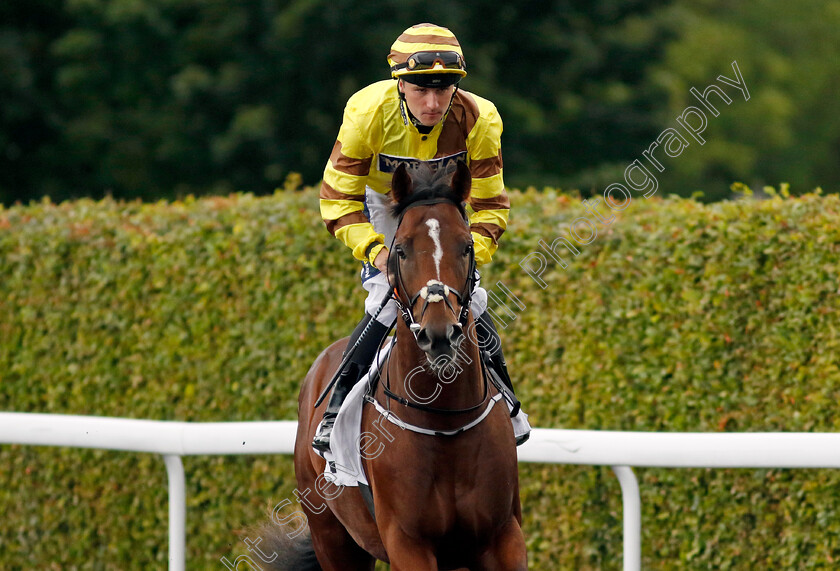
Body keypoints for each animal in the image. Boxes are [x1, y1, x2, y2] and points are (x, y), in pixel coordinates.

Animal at [260, 162, 528, 571]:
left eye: (467, 247)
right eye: (400, 250)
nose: (439, 334)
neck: (445, 423)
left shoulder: (503, 537)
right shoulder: (407, 543)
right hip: (331, 536)